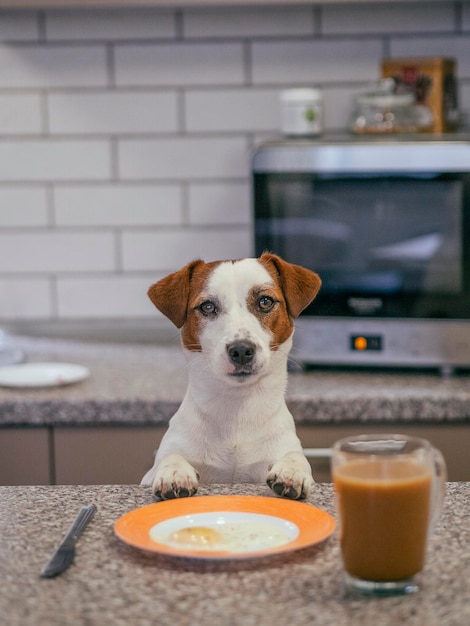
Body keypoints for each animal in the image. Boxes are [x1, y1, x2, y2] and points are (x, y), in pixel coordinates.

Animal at [140, 251, 322, 500]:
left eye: (265, 301)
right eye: (207, 306)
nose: (241, 350)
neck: (236, 405)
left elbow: (296, 456)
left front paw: (291, 470)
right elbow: (170, 455)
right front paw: (174, 472)